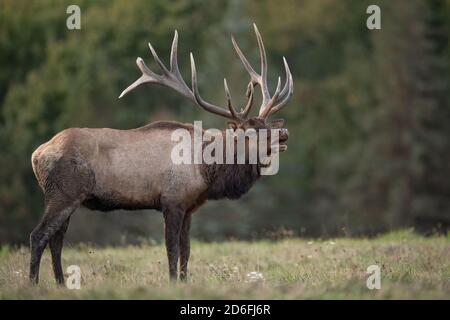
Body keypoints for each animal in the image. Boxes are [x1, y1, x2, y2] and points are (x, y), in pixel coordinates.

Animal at [29, 25, 294, 284]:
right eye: (252, 131)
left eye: (267, 124)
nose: (283, 132)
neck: (205, 169)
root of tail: (37, 155)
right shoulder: (171, 200)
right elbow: (172, 250)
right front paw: (172, 282)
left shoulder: (190, 206)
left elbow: (186, 249)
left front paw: (184, 282)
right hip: (63, 193)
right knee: (38, 235)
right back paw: (33, 283)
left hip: (65, 197)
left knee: (56, 239)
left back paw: (61, 283)